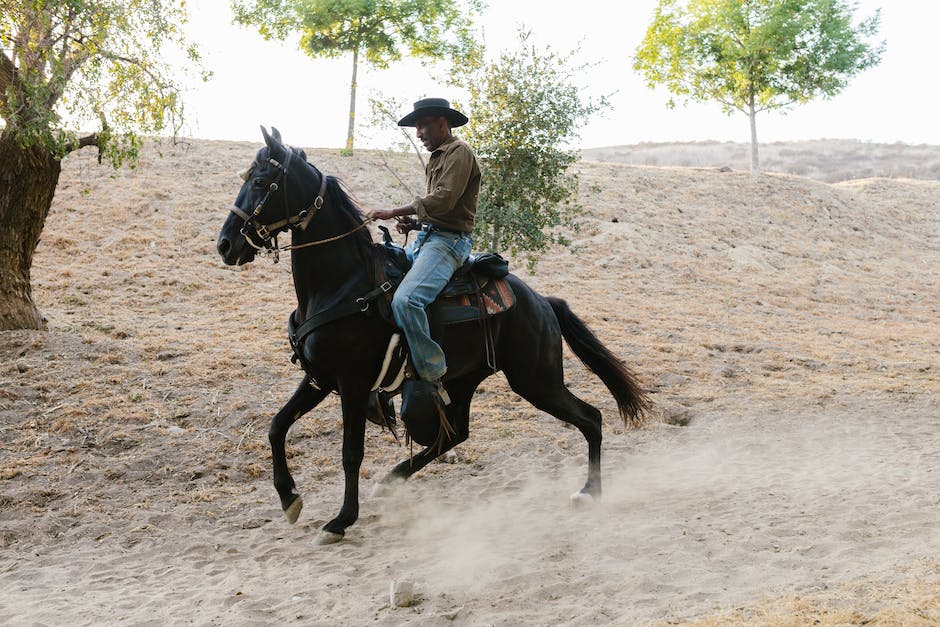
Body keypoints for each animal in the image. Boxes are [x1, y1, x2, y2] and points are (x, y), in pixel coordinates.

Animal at [218, 127, 648, 544]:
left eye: (261, 181)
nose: (226, 245)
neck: (342, 285)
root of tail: (543, 302)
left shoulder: (352, 384)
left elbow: (350, 452)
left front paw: (340, 521)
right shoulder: (319, 378)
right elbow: (277, 427)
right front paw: (289, 498)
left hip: (536, 380)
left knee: (590, 418)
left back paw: (590, 492)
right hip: (466, 379)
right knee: (456, 433)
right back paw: (391, 479)